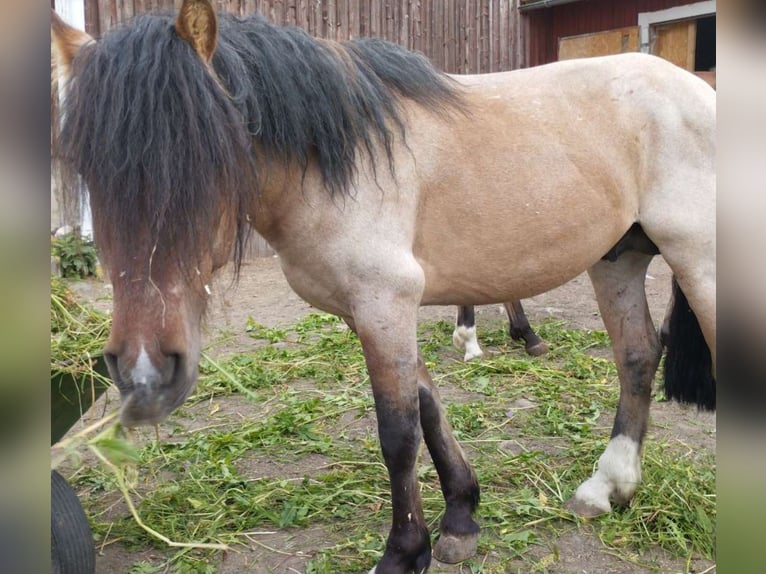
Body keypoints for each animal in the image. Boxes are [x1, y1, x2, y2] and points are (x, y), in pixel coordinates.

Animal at [51, 2, 716, 572]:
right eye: (87, 169)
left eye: (215, 160)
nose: (144, 375)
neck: (333, 163)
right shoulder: (372, 311)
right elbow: (427, 408)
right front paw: (460, 519)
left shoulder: (384, 302)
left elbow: (397, 434)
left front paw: (404, 553)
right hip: (617, 259)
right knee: (638, 356)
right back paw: (608, 487)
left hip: (698, 261)